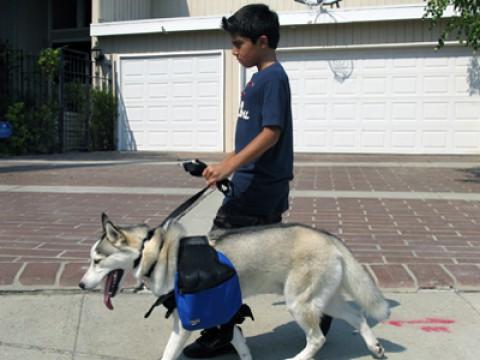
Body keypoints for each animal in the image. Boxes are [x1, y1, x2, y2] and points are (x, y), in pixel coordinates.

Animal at [79, 214, 390, 360]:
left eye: (96, 261)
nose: (81, 284)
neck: (158, 253)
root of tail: (328, 236)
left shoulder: (185, 322)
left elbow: (168, 353)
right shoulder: (225, 313)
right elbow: (238, 341)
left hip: (298, 303)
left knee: (317, 338)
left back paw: (300, 357)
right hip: (326, 300)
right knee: (358, 315)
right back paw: (374, 346)